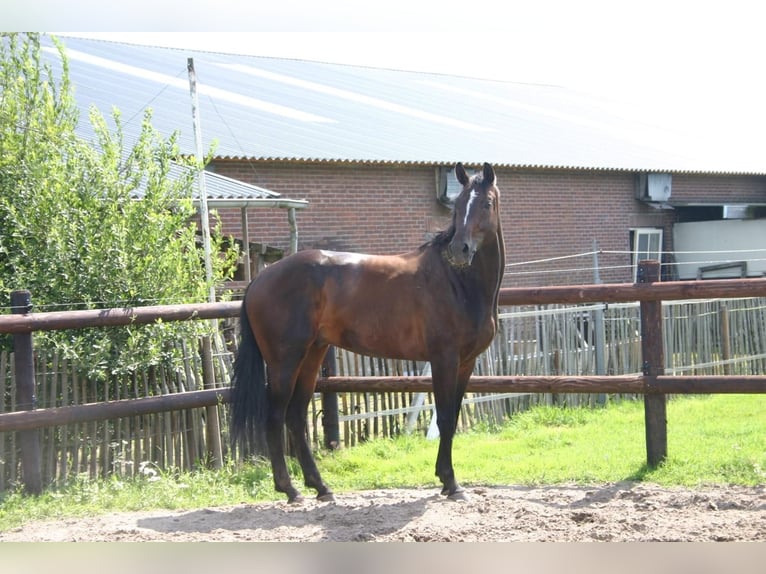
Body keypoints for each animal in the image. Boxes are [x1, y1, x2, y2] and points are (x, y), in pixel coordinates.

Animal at [231, 162, 508, 504]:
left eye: (487, 203)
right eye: (457, 206)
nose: (460, 250)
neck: (458, 281)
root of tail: (259, 280)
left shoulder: (466, 363)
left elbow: (453, 417)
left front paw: (446, 481)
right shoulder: (444, 359)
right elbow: (444, 418)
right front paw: (451, 483)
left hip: (312, 355)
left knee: (295, 416)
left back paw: (321, 487)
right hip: (285, 361)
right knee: (275, 417)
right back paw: (291, 489)